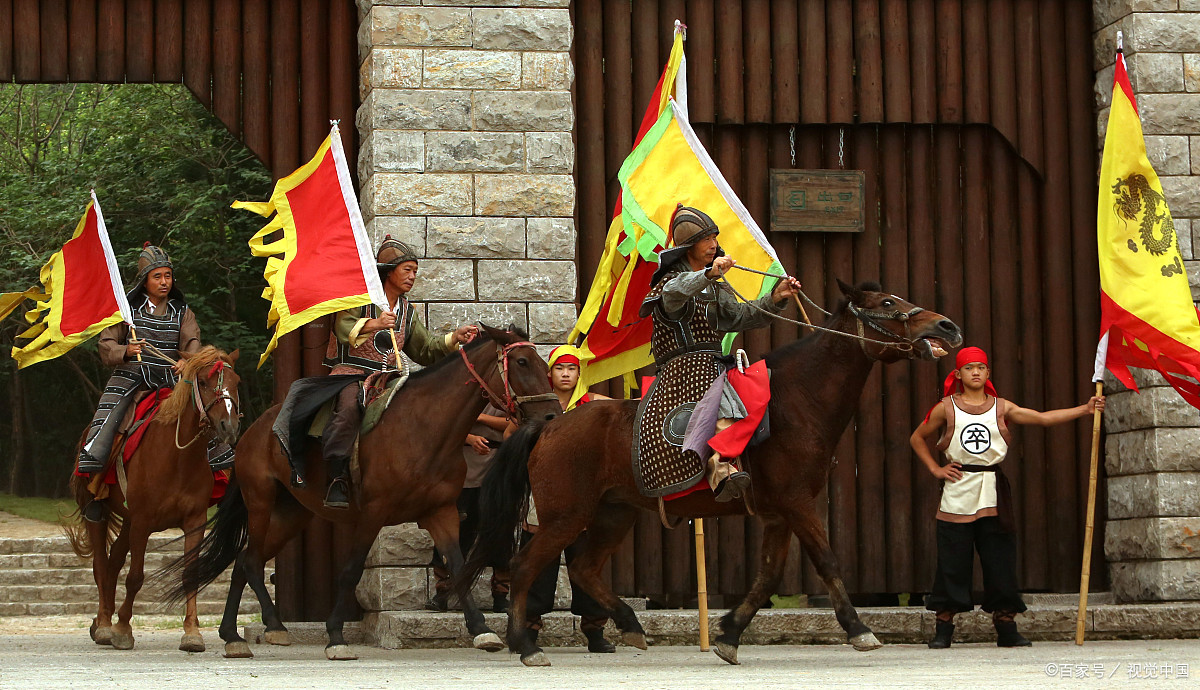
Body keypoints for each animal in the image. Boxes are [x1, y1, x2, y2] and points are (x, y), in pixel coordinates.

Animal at [67, 345, 243, 652]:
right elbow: (135, 576)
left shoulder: (193, 521)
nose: (228, 427)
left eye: (236, 382)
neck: (177, 458)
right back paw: (104, 626)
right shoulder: (142, 521)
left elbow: (189, 574)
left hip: (127, 522)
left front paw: (192, 633)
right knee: (101, 565)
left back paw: (103, 622)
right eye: (204, 382)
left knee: (113, 562)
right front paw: (123, 629)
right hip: (98, 511)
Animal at [156, 326, 561, 662]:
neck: (426, 427)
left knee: (242, 560)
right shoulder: (372, 513)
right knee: (252, 560)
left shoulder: (441, 511)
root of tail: (250, 432)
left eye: (542, 361)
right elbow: (350, 571)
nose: (553, 415)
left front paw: (482, 631)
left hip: (292, 514)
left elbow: (459, 567)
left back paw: (236, 635)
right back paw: (266, 628)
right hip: (261, 502)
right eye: (522, 362)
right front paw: (336, 636)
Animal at [456, 283, 964, 667]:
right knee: (526, 566)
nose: (947, 326)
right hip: (566, 515)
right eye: (888, 304)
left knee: (584, 568)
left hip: (613, 513)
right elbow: (827, 562)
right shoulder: (799, 503)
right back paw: (525, 644)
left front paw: (729, 634)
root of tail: (549, 425)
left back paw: (629, 625)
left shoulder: (779, 512)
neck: (796, 401)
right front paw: (858, 629)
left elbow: (768, 576)